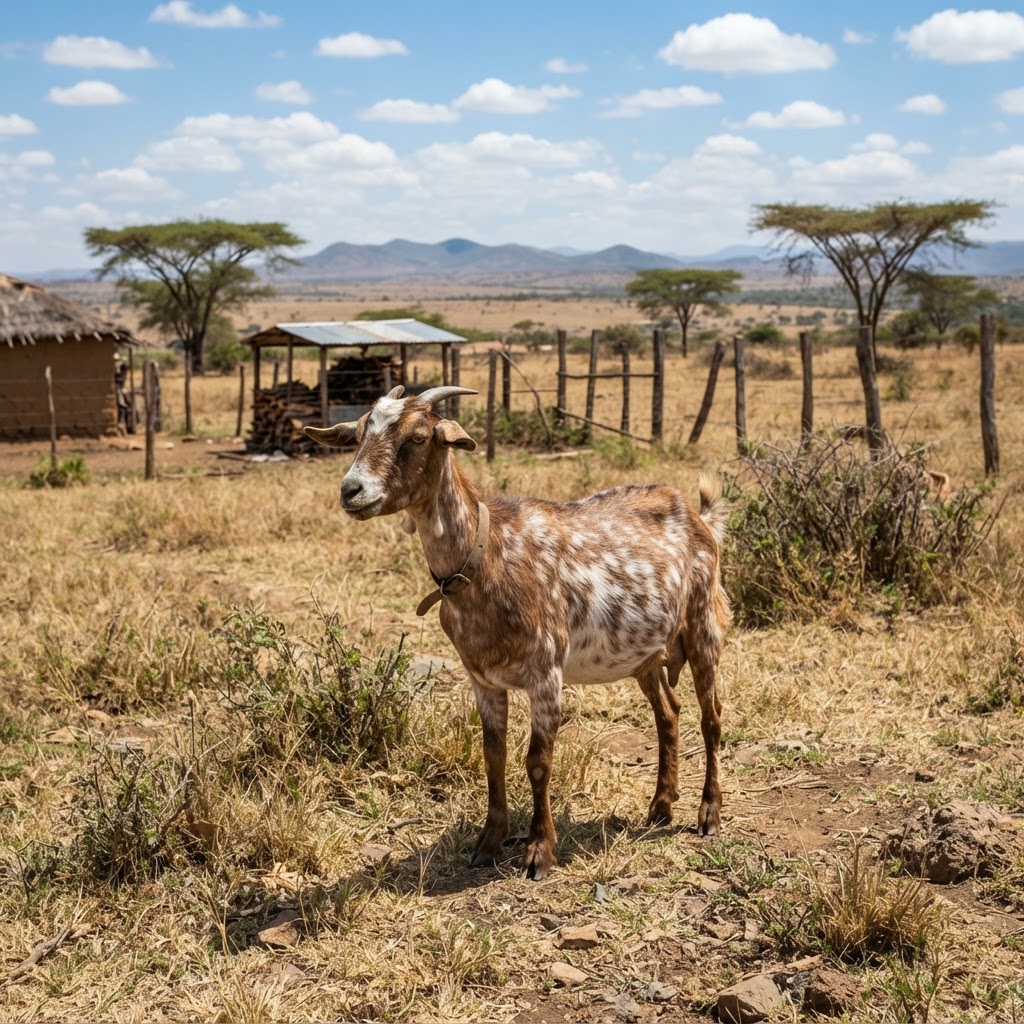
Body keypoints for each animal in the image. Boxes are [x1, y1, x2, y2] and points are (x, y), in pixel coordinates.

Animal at [305, 386, 731, 880]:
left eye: (417, 437)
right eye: (358, 434)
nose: (351, 490)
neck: (486, 556)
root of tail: (700, 518)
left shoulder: (546, 673)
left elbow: (538, 761)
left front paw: (539, 852)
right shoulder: (483, 679)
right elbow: (493, 756)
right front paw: (487, 844)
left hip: (703, 629)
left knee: (711, 717)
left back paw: (708, 814)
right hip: (645, 653)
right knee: (668, 713)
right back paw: (660, 806)